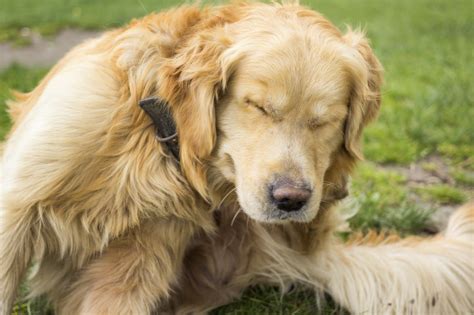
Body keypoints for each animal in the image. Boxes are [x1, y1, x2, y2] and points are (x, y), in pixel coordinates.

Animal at [0, 1, 474, 314]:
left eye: (326, 120)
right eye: (258, 106)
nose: (291, 201)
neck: (156, 135)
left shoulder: (135, 264)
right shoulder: (16, 208)